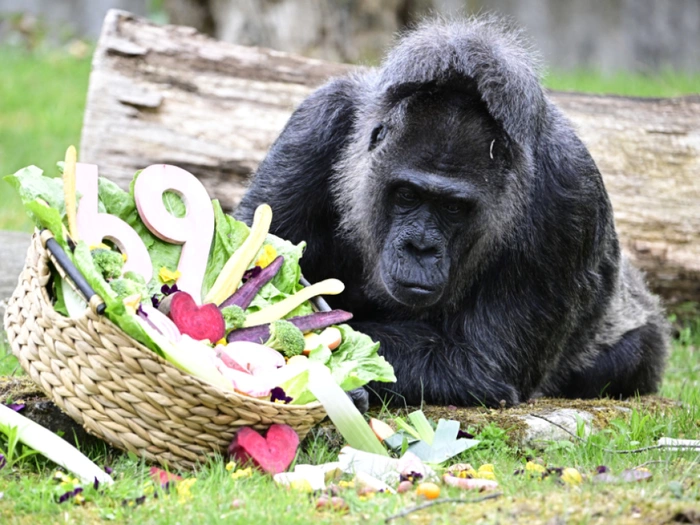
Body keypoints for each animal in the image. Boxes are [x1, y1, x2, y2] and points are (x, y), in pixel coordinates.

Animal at [235, 16, 669, 408]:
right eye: (407, 195)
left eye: (454, 208)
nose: (420, 248)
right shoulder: (314, 126)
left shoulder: (569, 192)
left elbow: (479, 362)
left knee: (630, 356)